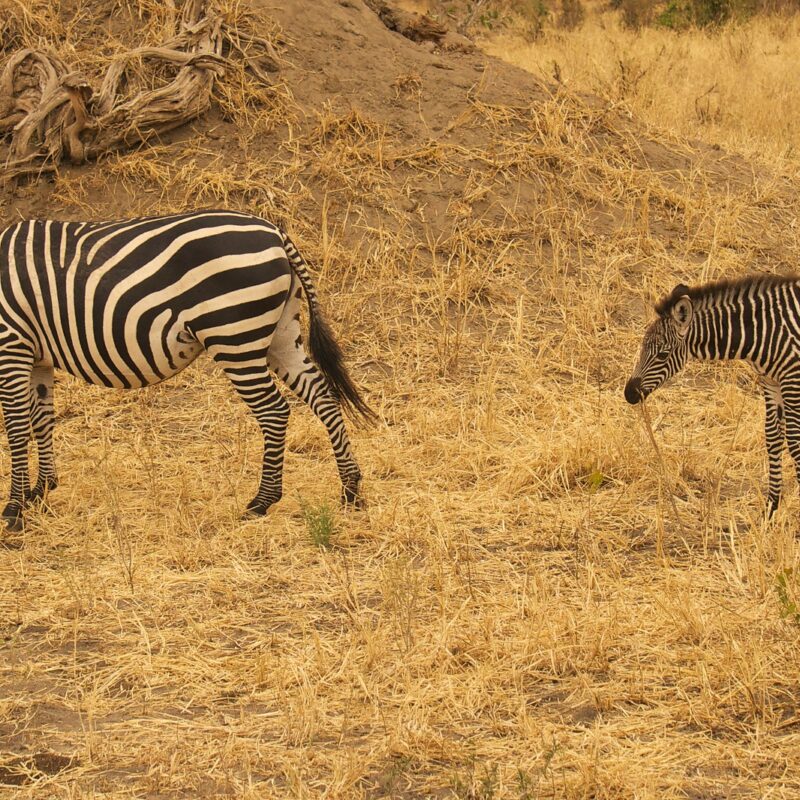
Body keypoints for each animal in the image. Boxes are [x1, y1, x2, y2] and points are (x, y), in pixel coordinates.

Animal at [0, 209, 374, 531]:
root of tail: (274, 231)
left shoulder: (11, 344)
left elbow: (16, 428)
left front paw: (14, 509)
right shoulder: (37, 357)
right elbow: (41, 420)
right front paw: (40, 491)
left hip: (234, 336)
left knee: (274, 411)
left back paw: (262, 501)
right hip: (280, 333)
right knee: (321, 394)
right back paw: (350, 488)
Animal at [625, 275, 800, 517]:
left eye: (662, 354)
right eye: (642, 348)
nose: (629, 393)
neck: (765, 331)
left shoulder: (792, 380)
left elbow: (794, 441)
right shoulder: (771, 382)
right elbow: (773, 437)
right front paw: (771, 507)